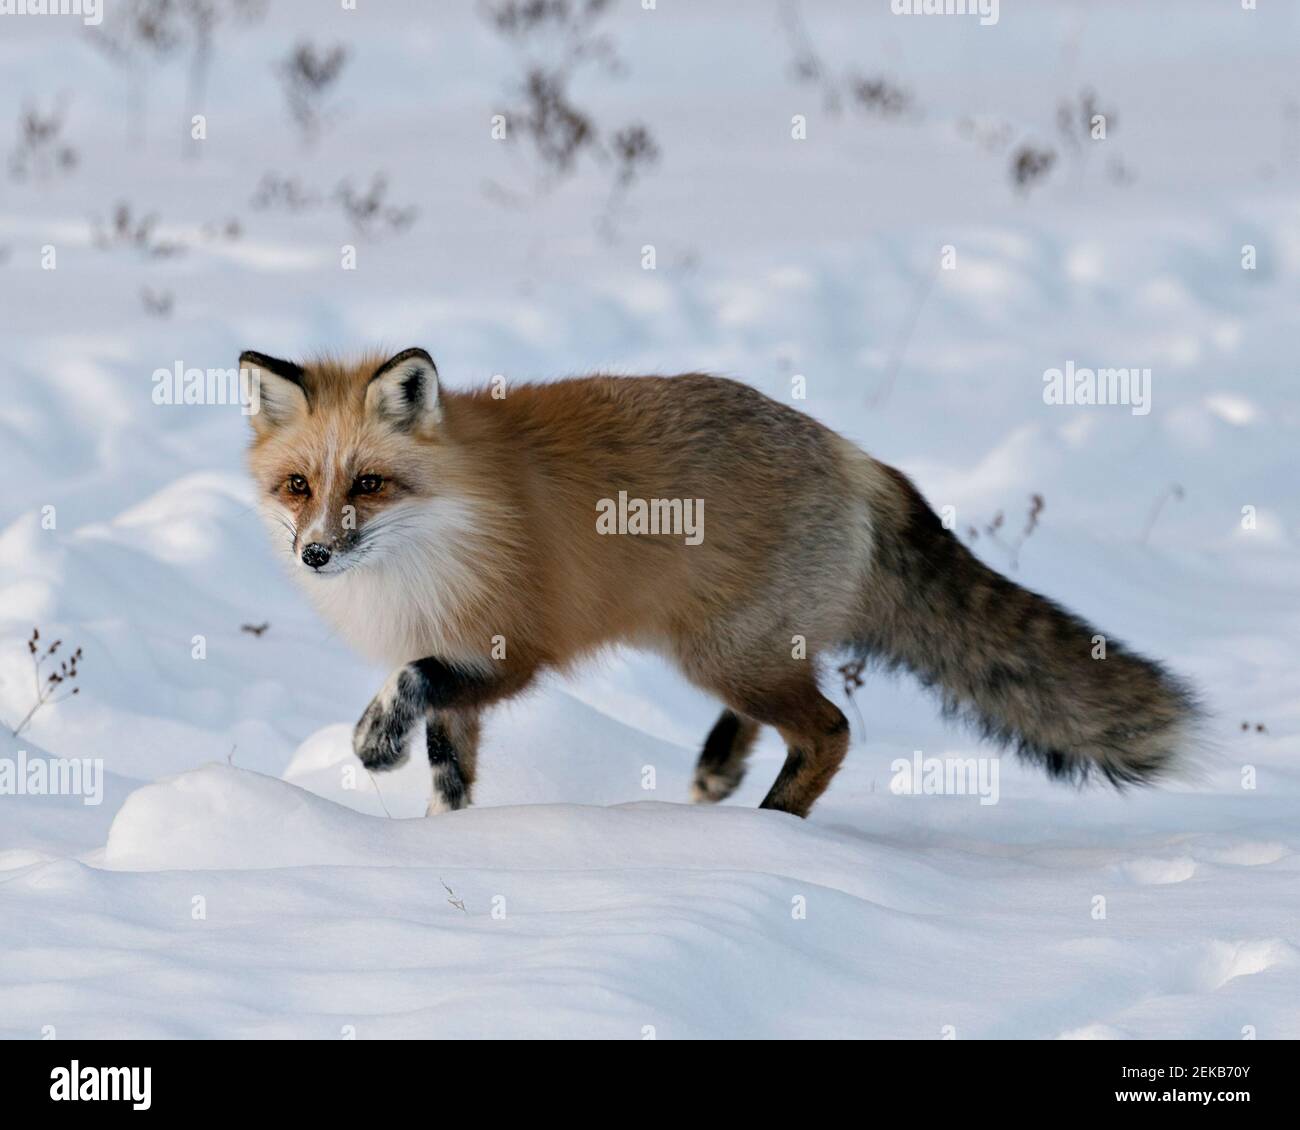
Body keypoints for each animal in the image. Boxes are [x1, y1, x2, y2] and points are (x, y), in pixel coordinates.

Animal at [241, 348, 1196, 816]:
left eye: (369, 484)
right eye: (299, 486)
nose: (315, 554)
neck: (443, 533)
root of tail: (854, 456)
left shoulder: (508, 654)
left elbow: (407, 684)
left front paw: (372, 743)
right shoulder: (458, 675)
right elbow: (450, 779)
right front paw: (442, 857)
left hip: (723, 655)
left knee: (831, 731)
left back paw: (771, 829)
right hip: (737, 650)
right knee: (790, 712)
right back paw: (718, 775)